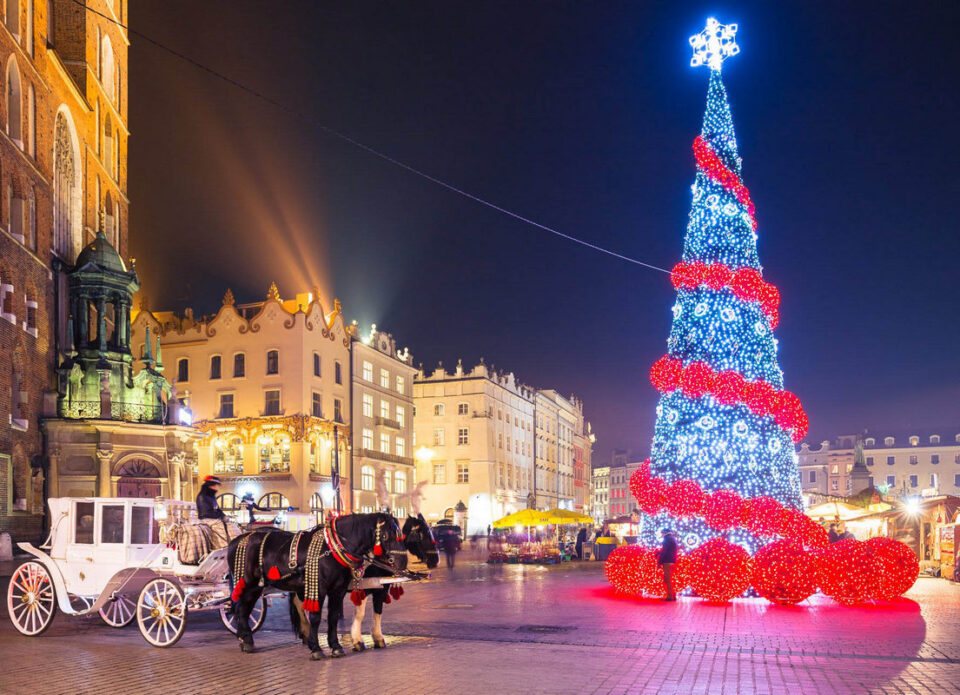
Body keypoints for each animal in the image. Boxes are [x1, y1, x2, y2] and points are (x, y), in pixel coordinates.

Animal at [226, 512, 404, 656]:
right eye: (386, 535)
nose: (401, 562)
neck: (334, 548)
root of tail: (237, 540)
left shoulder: (339, 590)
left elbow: (334, 617)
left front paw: (336, 646)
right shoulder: (321, 588)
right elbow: (317, 617)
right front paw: (319, 649)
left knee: (245, 608)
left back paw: (246, 639)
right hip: (250, 584)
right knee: (242, 608)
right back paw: (247, 641)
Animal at [346, 512, 440, 652]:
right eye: (423, 534)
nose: (436, 560)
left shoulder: (380, 588)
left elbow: (378, 611)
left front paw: (378, 638)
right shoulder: (363, 587)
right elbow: (360, 614)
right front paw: (358, 641)